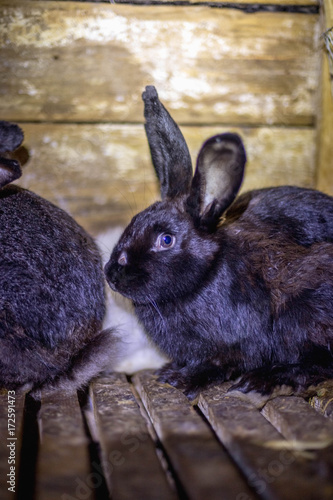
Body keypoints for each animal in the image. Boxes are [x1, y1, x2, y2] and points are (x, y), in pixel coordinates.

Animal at [104, 86, 332, 402]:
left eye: (166, 240)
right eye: (134, 220)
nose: (111, 274)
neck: (205, 277)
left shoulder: (240, 342)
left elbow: (220, 363)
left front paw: (181, 379)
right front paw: (170, 370)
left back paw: (264, 379)